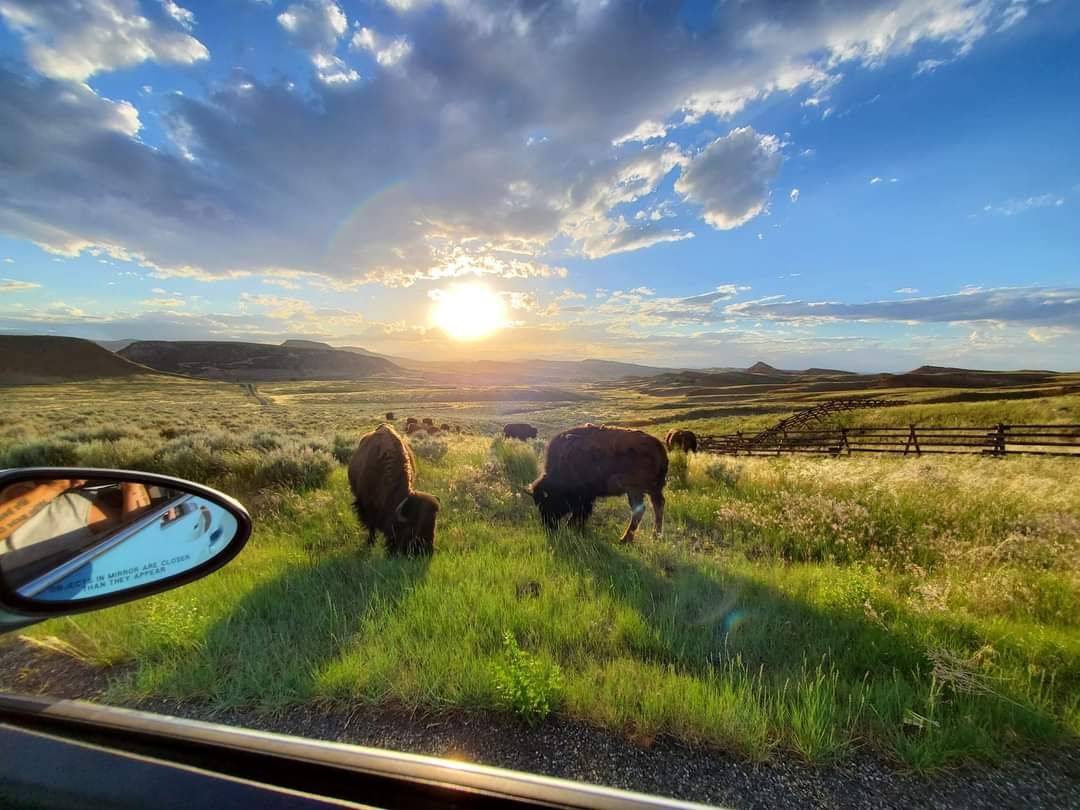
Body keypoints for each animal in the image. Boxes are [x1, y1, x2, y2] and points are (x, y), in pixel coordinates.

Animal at [348, 424, 440, 555]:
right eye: (411, 529)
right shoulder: (368, 506)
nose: (427, 552)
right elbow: (371, 527)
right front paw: (370, 544)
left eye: (434, 525)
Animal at [530, 424, 667, 543]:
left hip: (637, 490)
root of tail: (658, 445)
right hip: (647, 490)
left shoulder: (584, 498)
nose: (548, 526)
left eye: (547, 502)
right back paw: (651, 537)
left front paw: (574, 528)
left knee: (644, 509)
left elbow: (580, 513)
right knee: (653, 506)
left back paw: (627, 539)